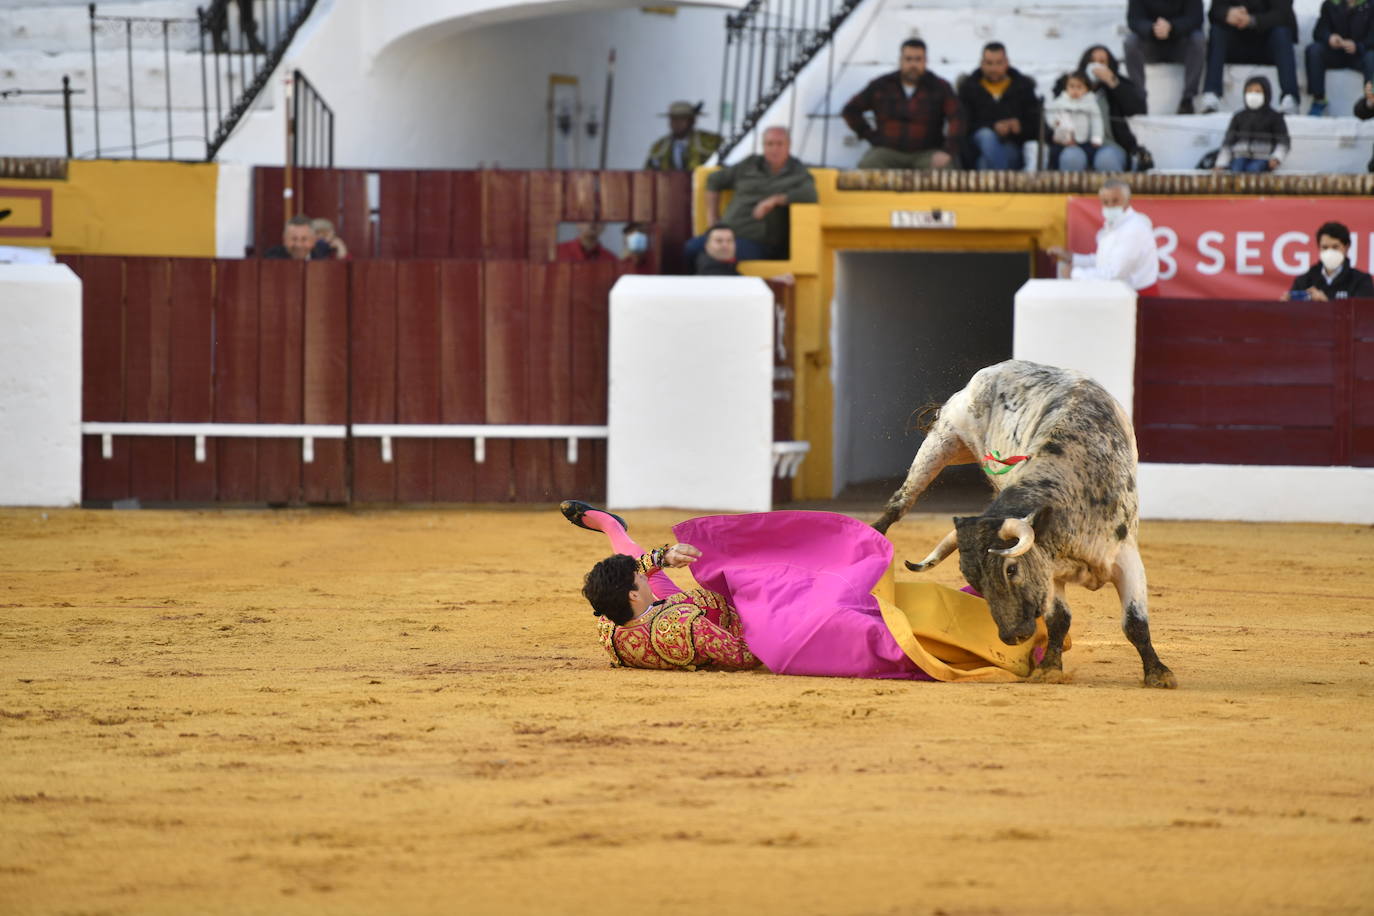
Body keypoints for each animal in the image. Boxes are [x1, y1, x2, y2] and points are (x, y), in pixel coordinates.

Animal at [873, 357, 1176, 686]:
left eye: (1011, 569)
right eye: (974, 581)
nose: (1012, 637)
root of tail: (998, 368)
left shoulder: (1126, 558)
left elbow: (1135, 621)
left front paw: (1159, 675)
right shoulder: (1050, 569)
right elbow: (1060, 619)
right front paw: (1050, 669)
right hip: (945, 439)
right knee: (901, 500)